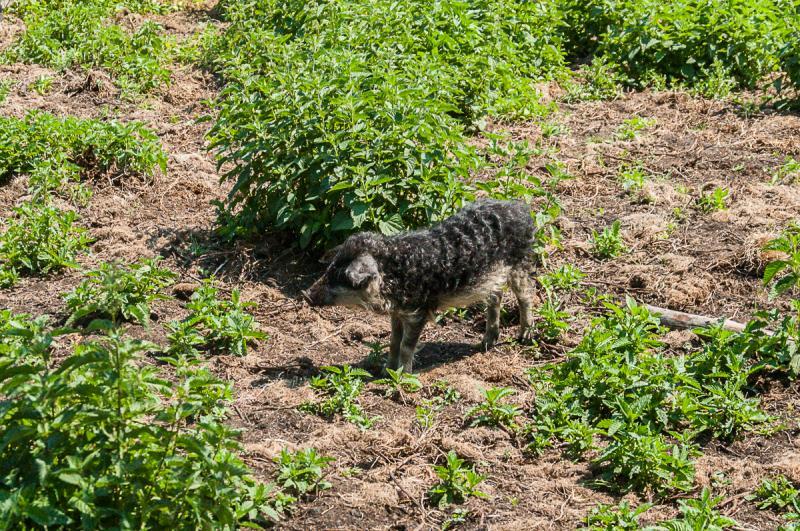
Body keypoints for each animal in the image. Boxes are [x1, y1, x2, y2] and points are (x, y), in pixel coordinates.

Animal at [304, 200, 536, 374]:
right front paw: (385, 371)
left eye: (341, 276)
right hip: (491, 277)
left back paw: (525, 337)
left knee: (525, 296)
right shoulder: (397, 313)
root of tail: (522, 209)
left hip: (520, 263)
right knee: (496, 297)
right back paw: (485, 344)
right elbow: (393, 341)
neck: (392, 274)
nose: (306, 293)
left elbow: (407, 346)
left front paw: (402, 376)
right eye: (330, 268)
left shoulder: (418, 312)